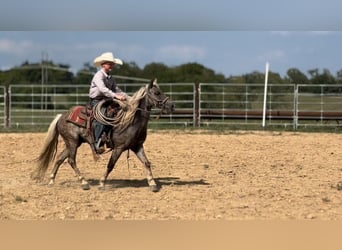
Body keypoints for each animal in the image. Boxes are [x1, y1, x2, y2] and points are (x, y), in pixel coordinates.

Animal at [30, 79, 175, 192]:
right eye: (157, 93)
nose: (171, 106)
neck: (131, 120)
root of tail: (61, 117)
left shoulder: (137, 146)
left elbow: (147, 163)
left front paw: (153, 184)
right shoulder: (119, 148)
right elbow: (111, 165)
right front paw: (101, 183)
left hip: (73, 143)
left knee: (60, 159)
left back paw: (51, 181)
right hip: (72, 142)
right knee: (71, 160)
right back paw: (84, 183)